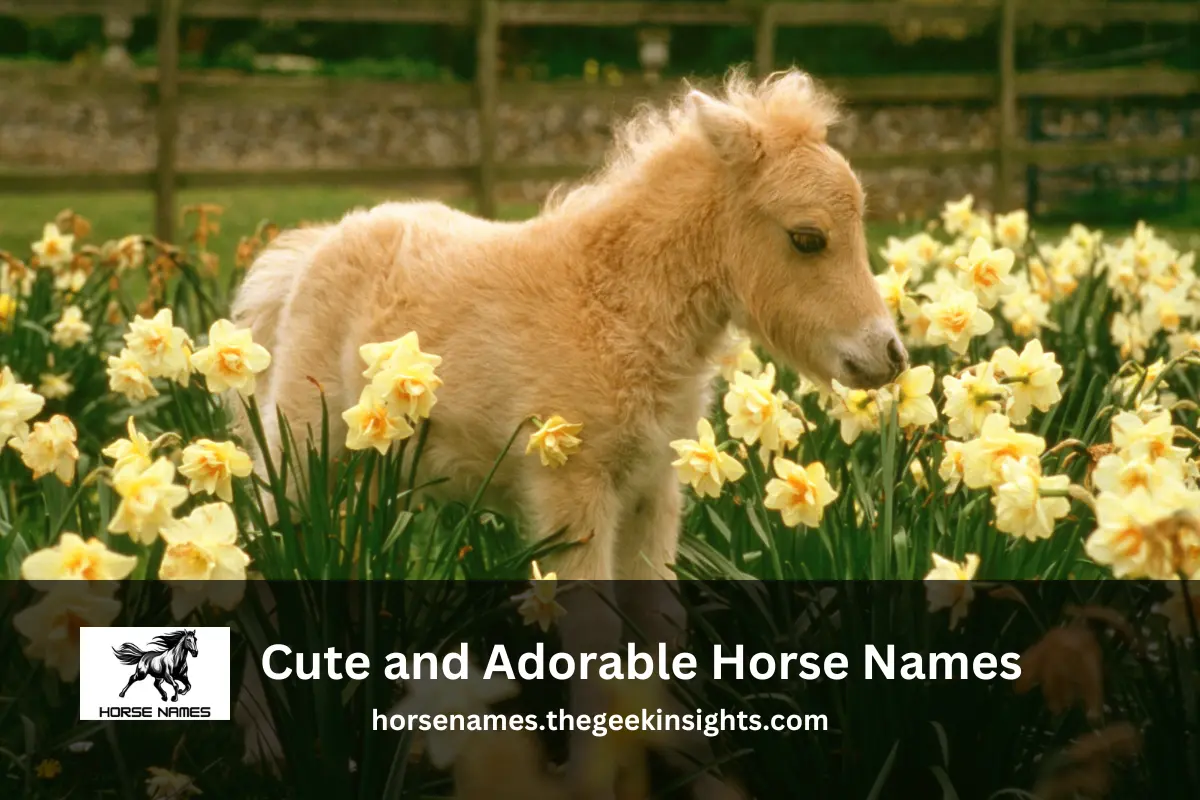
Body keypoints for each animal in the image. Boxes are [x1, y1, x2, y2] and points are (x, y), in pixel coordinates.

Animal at [232, 68, 905, 798]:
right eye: (808, 237)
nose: (890, 355)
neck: (615, 303)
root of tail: (316, 246)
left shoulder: (652, 493)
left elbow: (658, 636)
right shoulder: (574, 495)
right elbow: (594, 644)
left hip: (373, 472)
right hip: (301, 451)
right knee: (262, 562)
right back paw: (266, 752)